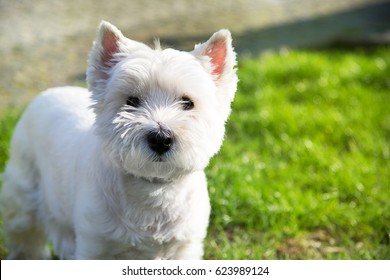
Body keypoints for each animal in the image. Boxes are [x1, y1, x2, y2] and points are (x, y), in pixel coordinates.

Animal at [0, 20, 238, 260]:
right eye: (132, 101)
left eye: (187, 103)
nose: (160, 138)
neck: (152, 191)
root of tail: (48, 91)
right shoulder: (94, 244)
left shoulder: (185, 246)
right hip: (24, 195)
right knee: (25, 236)